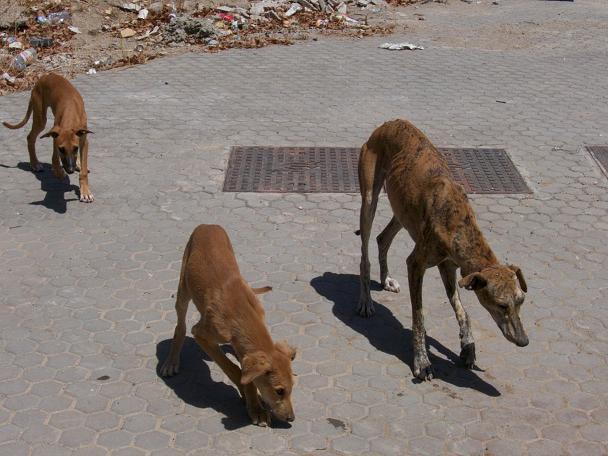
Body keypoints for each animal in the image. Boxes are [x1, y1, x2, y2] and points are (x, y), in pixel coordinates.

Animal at [2, 72, 93, 201]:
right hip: (40, 117)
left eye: (75, 148)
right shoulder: (56, 137)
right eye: (61, 149)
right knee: (30, 137)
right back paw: (35, 164)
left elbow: (83, 170)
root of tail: (45, 76)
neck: (71, 113)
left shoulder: (83, 141)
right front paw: (58, 172)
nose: (70, 170)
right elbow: (54, 158)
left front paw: (85, 191)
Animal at [160, 226, 296, 426]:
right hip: (183, 288)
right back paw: (171, 361)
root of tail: (207, 224)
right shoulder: (201, 334)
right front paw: (254, 405)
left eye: (292, 386)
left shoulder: (241, 345)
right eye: (279, 391)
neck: (240, 311)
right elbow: (233, 369)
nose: (291, 418)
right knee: (180, 326)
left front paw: (253, 403)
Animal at [356, 118, 528, 382]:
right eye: (501, 305)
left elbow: (463, 311)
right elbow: (419, 316)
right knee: (365, 253)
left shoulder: (449, 267)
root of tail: (389, 123)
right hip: (369, 199)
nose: (523, 341)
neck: (458, 222)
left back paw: (386, 279)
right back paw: (366, 300)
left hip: (403, 211)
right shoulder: (416, 264)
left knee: (383, 238)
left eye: (521, 300)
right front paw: (422, 361)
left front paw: (468, 347)